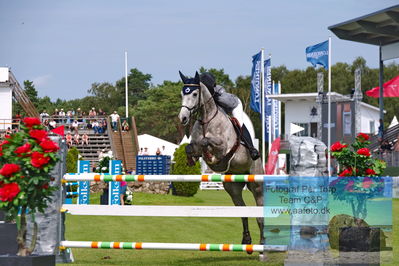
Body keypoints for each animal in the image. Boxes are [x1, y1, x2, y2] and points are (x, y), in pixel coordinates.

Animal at [179, 71, 266, 250]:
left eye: (195, 94)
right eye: (182, 94)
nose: (182, 118)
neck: (206, 120)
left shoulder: (223, 147)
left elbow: (207, 142)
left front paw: (209, 155)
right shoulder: (194, 144)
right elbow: (190, 147)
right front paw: (191, 160)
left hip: (256, 183)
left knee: (259, 212)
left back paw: (262, 242)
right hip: (232, 187)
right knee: (243, 211)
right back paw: (246, 240)